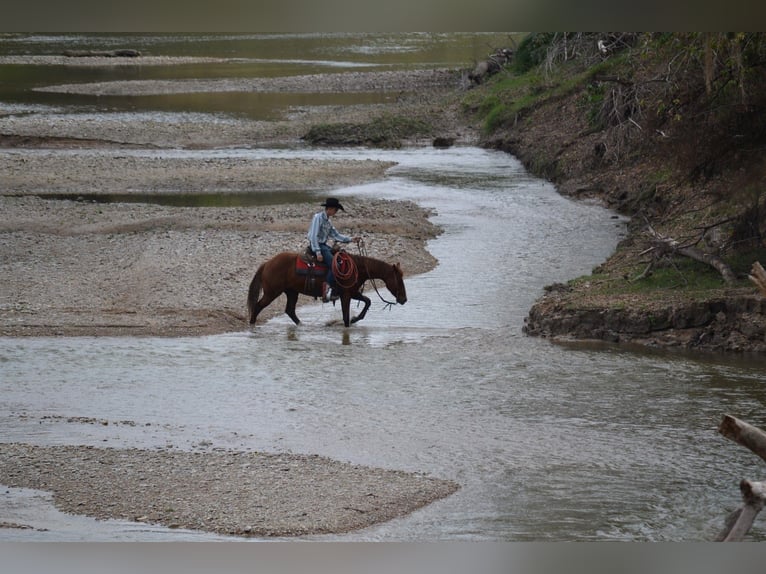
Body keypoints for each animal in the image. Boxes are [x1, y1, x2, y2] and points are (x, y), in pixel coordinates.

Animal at [247, 251, 407, 327]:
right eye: (399, 279)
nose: (404, 299)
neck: (357, 267)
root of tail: (267, 263)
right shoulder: (346, 295)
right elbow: (345, 316)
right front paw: (350, 323)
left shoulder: (352, 293)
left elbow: (367, 301)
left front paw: (356, 318)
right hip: (272, 292)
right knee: (258, 306)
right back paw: (252, 325)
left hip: (292, 292)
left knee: (290, 310)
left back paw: (302, 325)